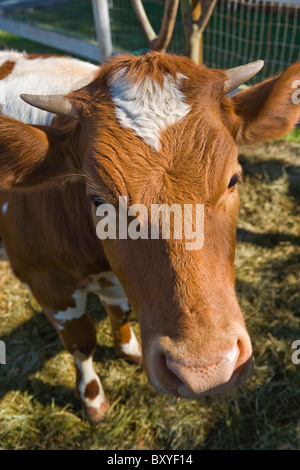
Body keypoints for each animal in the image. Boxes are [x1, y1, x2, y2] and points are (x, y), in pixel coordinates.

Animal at [0, 51, 298, 426]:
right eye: (97, 199)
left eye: (233, 179)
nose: (206, 369)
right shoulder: (46, 283)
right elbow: (81, 342)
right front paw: (93, 399)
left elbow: (118, 309)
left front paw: (128, 348)